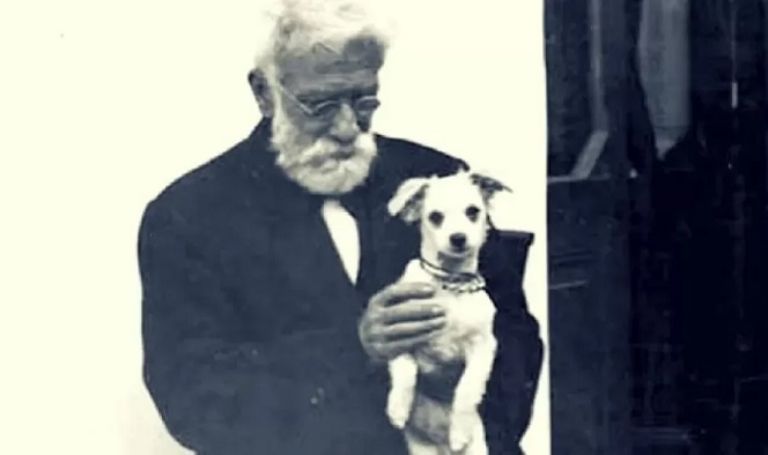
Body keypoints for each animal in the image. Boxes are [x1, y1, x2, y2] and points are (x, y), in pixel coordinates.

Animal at [385, 170, 510, 455]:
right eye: (435, 217)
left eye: (473, 211)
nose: (458, 237)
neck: (450, 284)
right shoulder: (402, 335)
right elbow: (405, 372)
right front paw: (398, 407)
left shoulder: (483, 348)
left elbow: (467, 389)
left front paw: (459, 430)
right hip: (420, 448)